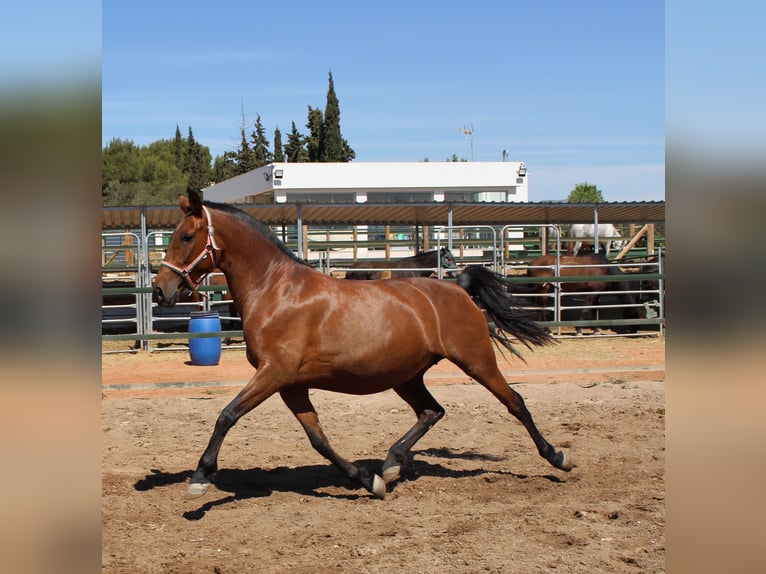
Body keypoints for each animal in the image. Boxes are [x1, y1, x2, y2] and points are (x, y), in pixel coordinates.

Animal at [152, 192, 576, 500]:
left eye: (186, 236)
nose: (160, 290)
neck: (275, 290)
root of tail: (458, 287)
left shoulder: (275, 373)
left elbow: (226, 415)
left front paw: (200, 477)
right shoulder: (290, 385)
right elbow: (319, 440)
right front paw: (368, 480)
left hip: (476, 361)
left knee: (515, 402)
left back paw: (558, 457)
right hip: (407, 376)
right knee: (432, 412)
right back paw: (391, 464)